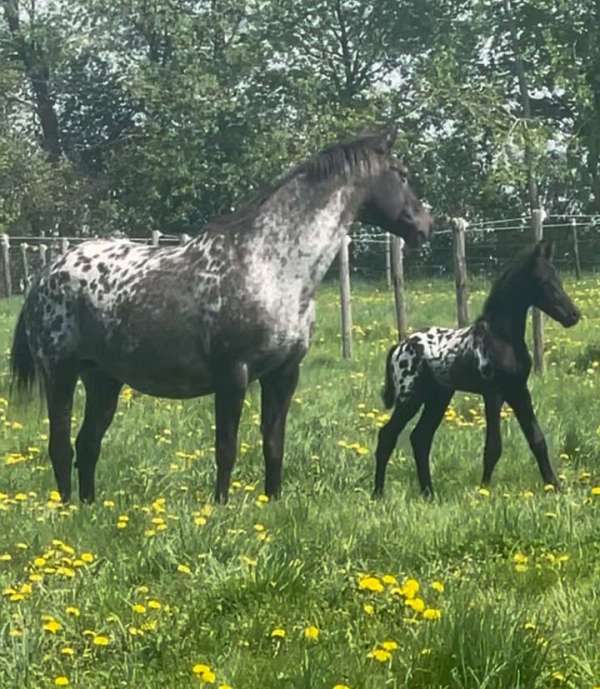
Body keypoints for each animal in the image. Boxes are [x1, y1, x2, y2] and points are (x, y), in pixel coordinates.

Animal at [9, 129, 432, 502]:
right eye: (402, 174)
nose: (425, 226)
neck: (271, 266)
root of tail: (46, 273)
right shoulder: (233, 375)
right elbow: (226, 448)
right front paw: (221, 507)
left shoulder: (284, 375)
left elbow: (273, 445)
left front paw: (272, 502)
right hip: (60, 374)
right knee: (61, 446)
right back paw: (68, 509)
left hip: (103, 380)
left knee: (88, 445)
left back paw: (89, 507)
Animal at [376, 239, 580, 498]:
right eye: (544, 282)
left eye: (558, 280)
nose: (574, 315)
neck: (501, 337)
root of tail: (399, 346)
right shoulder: (493, 393)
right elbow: (493, 446)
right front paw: (484, 491)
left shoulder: (519, 391)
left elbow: (537, 439)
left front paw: (555, 487)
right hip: (410, 397)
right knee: (388, 435)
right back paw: (378, 494)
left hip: (437, 397)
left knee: (420, 438)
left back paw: (428, 493)